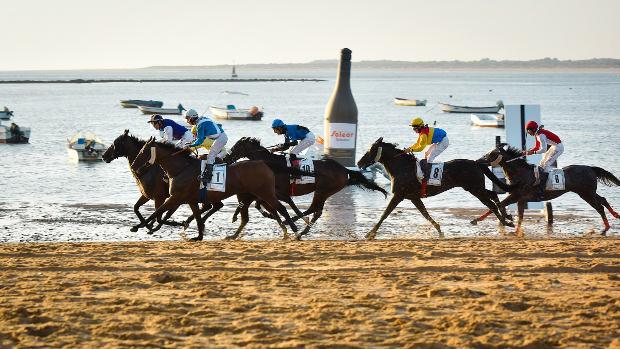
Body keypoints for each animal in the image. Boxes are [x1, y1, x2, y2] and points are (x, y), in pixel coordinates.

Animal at [131, 137, 300, 241]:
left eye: (143, 151)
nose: (134, 166)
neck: (181, 169)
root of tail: (264, 162)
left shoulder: (175, 197)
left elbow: (157, 212)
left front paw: (138, 226)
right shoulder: (190, 200)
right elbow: (197, 217)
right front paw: (198, 236)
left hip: (265, 192)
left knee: (281, 208)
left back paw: (296, 231)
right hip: (250, 195)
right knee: (254, 215)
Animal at [223, 136, 388, 239]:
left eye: (236, 146)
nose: (225, 158)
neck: (271, 163)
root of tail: (344, 170)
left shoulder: (276, 192)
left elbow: (277, 205)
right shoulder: (271, 192)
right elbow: (264, 204)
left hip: (323, 190)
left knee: (314, 209)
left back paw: (299, 224)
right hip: (324, 192)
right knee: (317, 211)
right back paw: (302, 228)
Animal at [356, 137, 516, 238]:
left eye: (370, 150)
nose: (358, 163)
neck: (402, 167)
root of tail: (476, 162)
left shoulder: (399, 195)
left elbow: (385, 214)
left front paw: (370, 233)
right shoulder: (413, 197)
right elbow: (425, 213)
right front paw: (439, 230)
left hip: (475, 189)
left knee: (491, 203)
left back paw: (505, 222)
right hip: (474, 188)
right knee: (493, 195)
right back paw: (506, 218)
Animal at [474, 143, 620, 235]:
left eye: (491, 154)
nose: (477, 161)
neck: (521, 173)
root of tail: (590, 168)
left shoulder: (515, 196)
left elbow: (497, 206)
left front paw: (477, 220)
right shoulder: (521, 199)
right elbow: (519, 216)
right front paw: (515, 229)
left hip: (586, 193)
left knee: (599, 207)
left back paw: (606, 226)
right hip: (588, 192)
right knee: (603, 200)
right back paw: (615, 215)